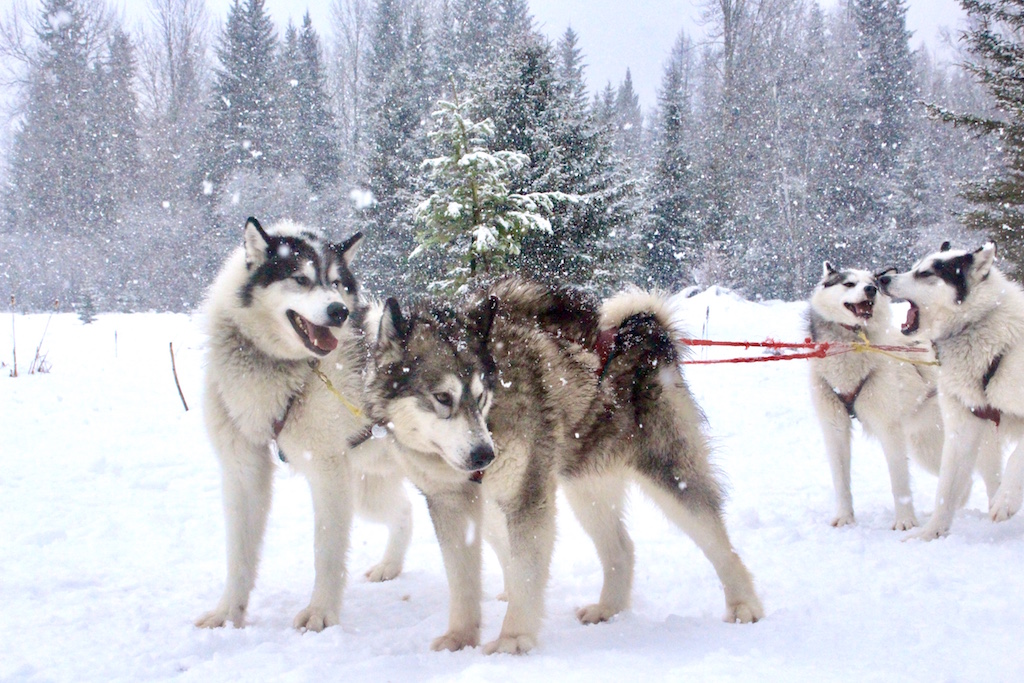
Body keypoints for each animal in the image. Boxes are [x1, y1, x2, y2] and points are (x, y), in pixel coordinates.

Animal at [195, 218, 411, 630]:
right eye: (301, 278)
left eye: (338, 283)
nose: (339, 311)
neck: (282, 367)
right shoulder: (243, 468)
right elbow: (239, 554)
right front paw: (228, 613)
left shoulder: (327, 471)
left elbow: (326, 551)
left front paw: (321, 612)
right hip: (367, 490)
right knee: (404, 514)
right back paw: (390, 566)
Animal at [366, 278, 761, 655]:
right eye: (442, 398)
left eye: (479, 395)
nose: (484, 456)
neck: (495, 415)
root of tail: (643, 329)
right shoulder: (449, 502)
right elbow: (462, 579)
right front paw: (460, 637)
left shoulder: (527, 496)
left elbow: (524, 574)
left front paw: (513, 638)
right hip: (585, 486)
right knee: (621, 548)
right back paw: (609, 609)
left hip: (667, 472)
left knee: (717, 541)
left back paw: (745, 605)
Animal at [876, 241, 1019, 540]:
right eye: (915, 267)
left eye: (926, 273)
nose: (882, 279)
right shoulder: (962, 426)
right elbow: (947, 488)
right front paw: (930, 534)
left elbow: (1016, 459)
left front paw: (1006, 499)